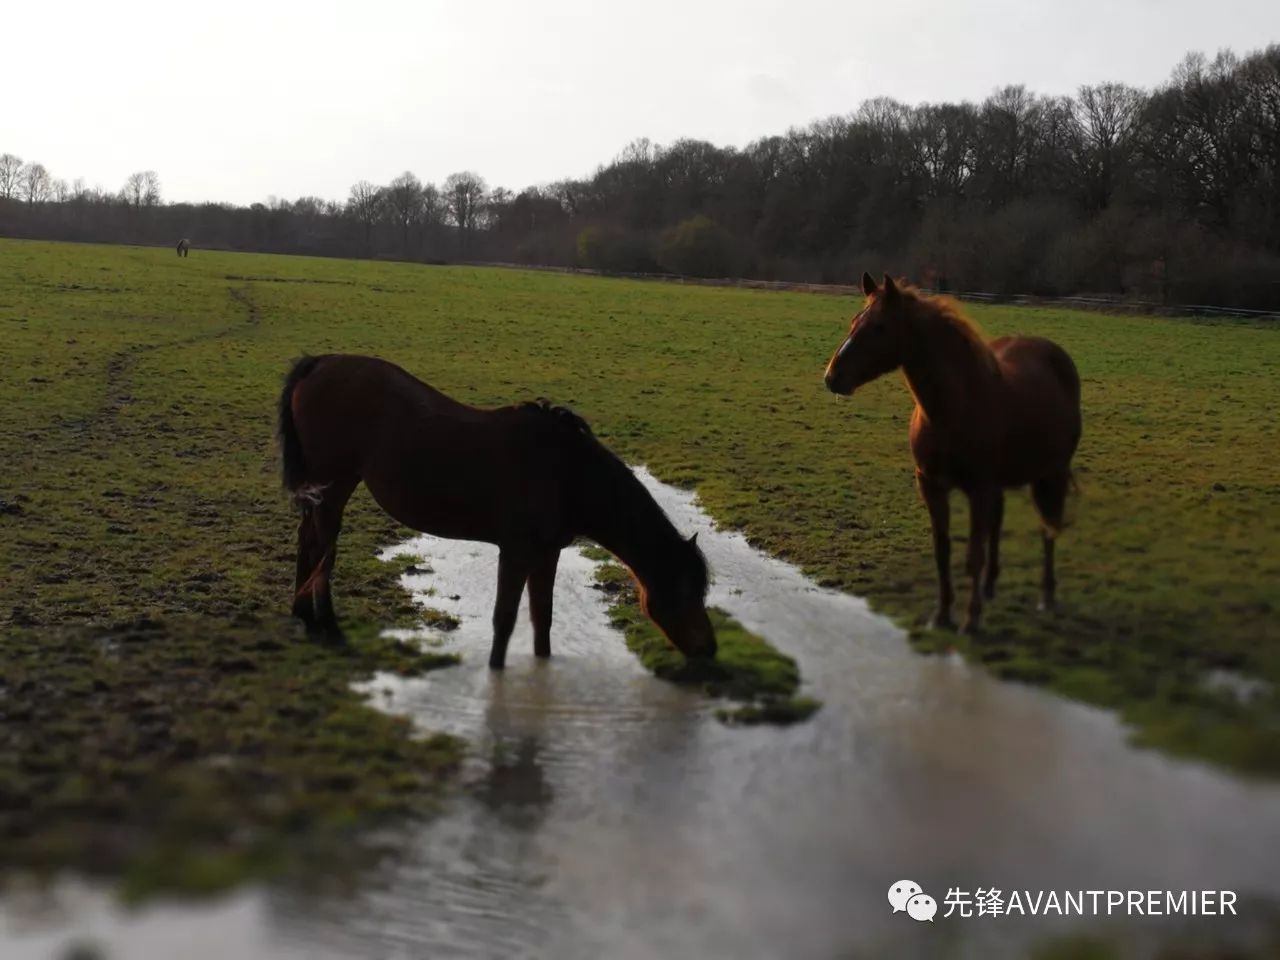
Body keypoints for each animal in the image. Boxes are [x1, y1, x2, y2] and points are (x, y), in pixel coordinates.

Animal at [277, 353, 721, 670]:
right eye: (685, 589)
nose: (710, 648)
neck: (566, 472)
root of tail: (320, 363)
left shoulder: (546, 554)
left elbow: (541, 618)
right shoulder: (516, 552)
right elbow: (504, 620)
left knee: (308, 540)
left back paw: (304, 614)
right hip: (334, 487)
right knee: (325, 548)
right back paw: (327, 623)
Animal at [819, 273, 1080, 634]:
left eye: (880, 327)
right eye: (855, 321)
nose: (832, 377)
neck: (952, 409)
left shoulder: (978, 490)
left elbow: (973, 555)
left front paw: (970, 621)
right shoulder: (932, 486)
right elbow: (943, 552)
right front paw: (942, 615)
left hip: (1051, 474)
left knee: (1048, 528)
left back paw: (1046, 598)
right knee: (1000, 523)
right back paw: (990, 588)